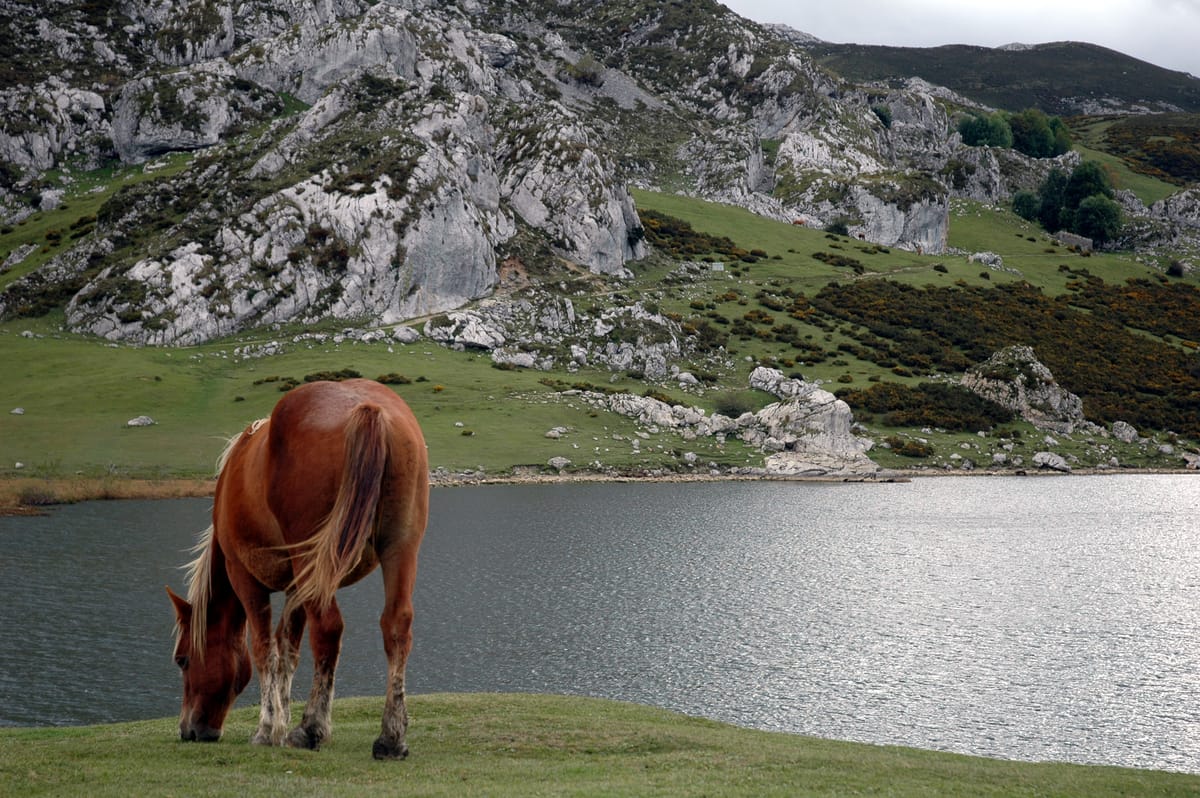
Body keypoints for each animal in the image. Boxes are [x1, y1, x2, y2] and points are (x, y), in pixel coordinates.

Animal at [166, 378, 429, 760]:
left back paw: (311, 729)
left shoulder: (245, 577)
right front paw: (282, 717)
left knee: (329, 629)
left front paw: (268, 728)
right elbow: (287, 650)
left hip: (314, 561)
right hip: (400, 547)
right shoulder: (295, 586)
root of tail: (368, 409)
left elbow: (265, 650)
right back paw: (390, 738)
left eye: (183, 660)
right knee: (396, 625)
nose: (189, 730)